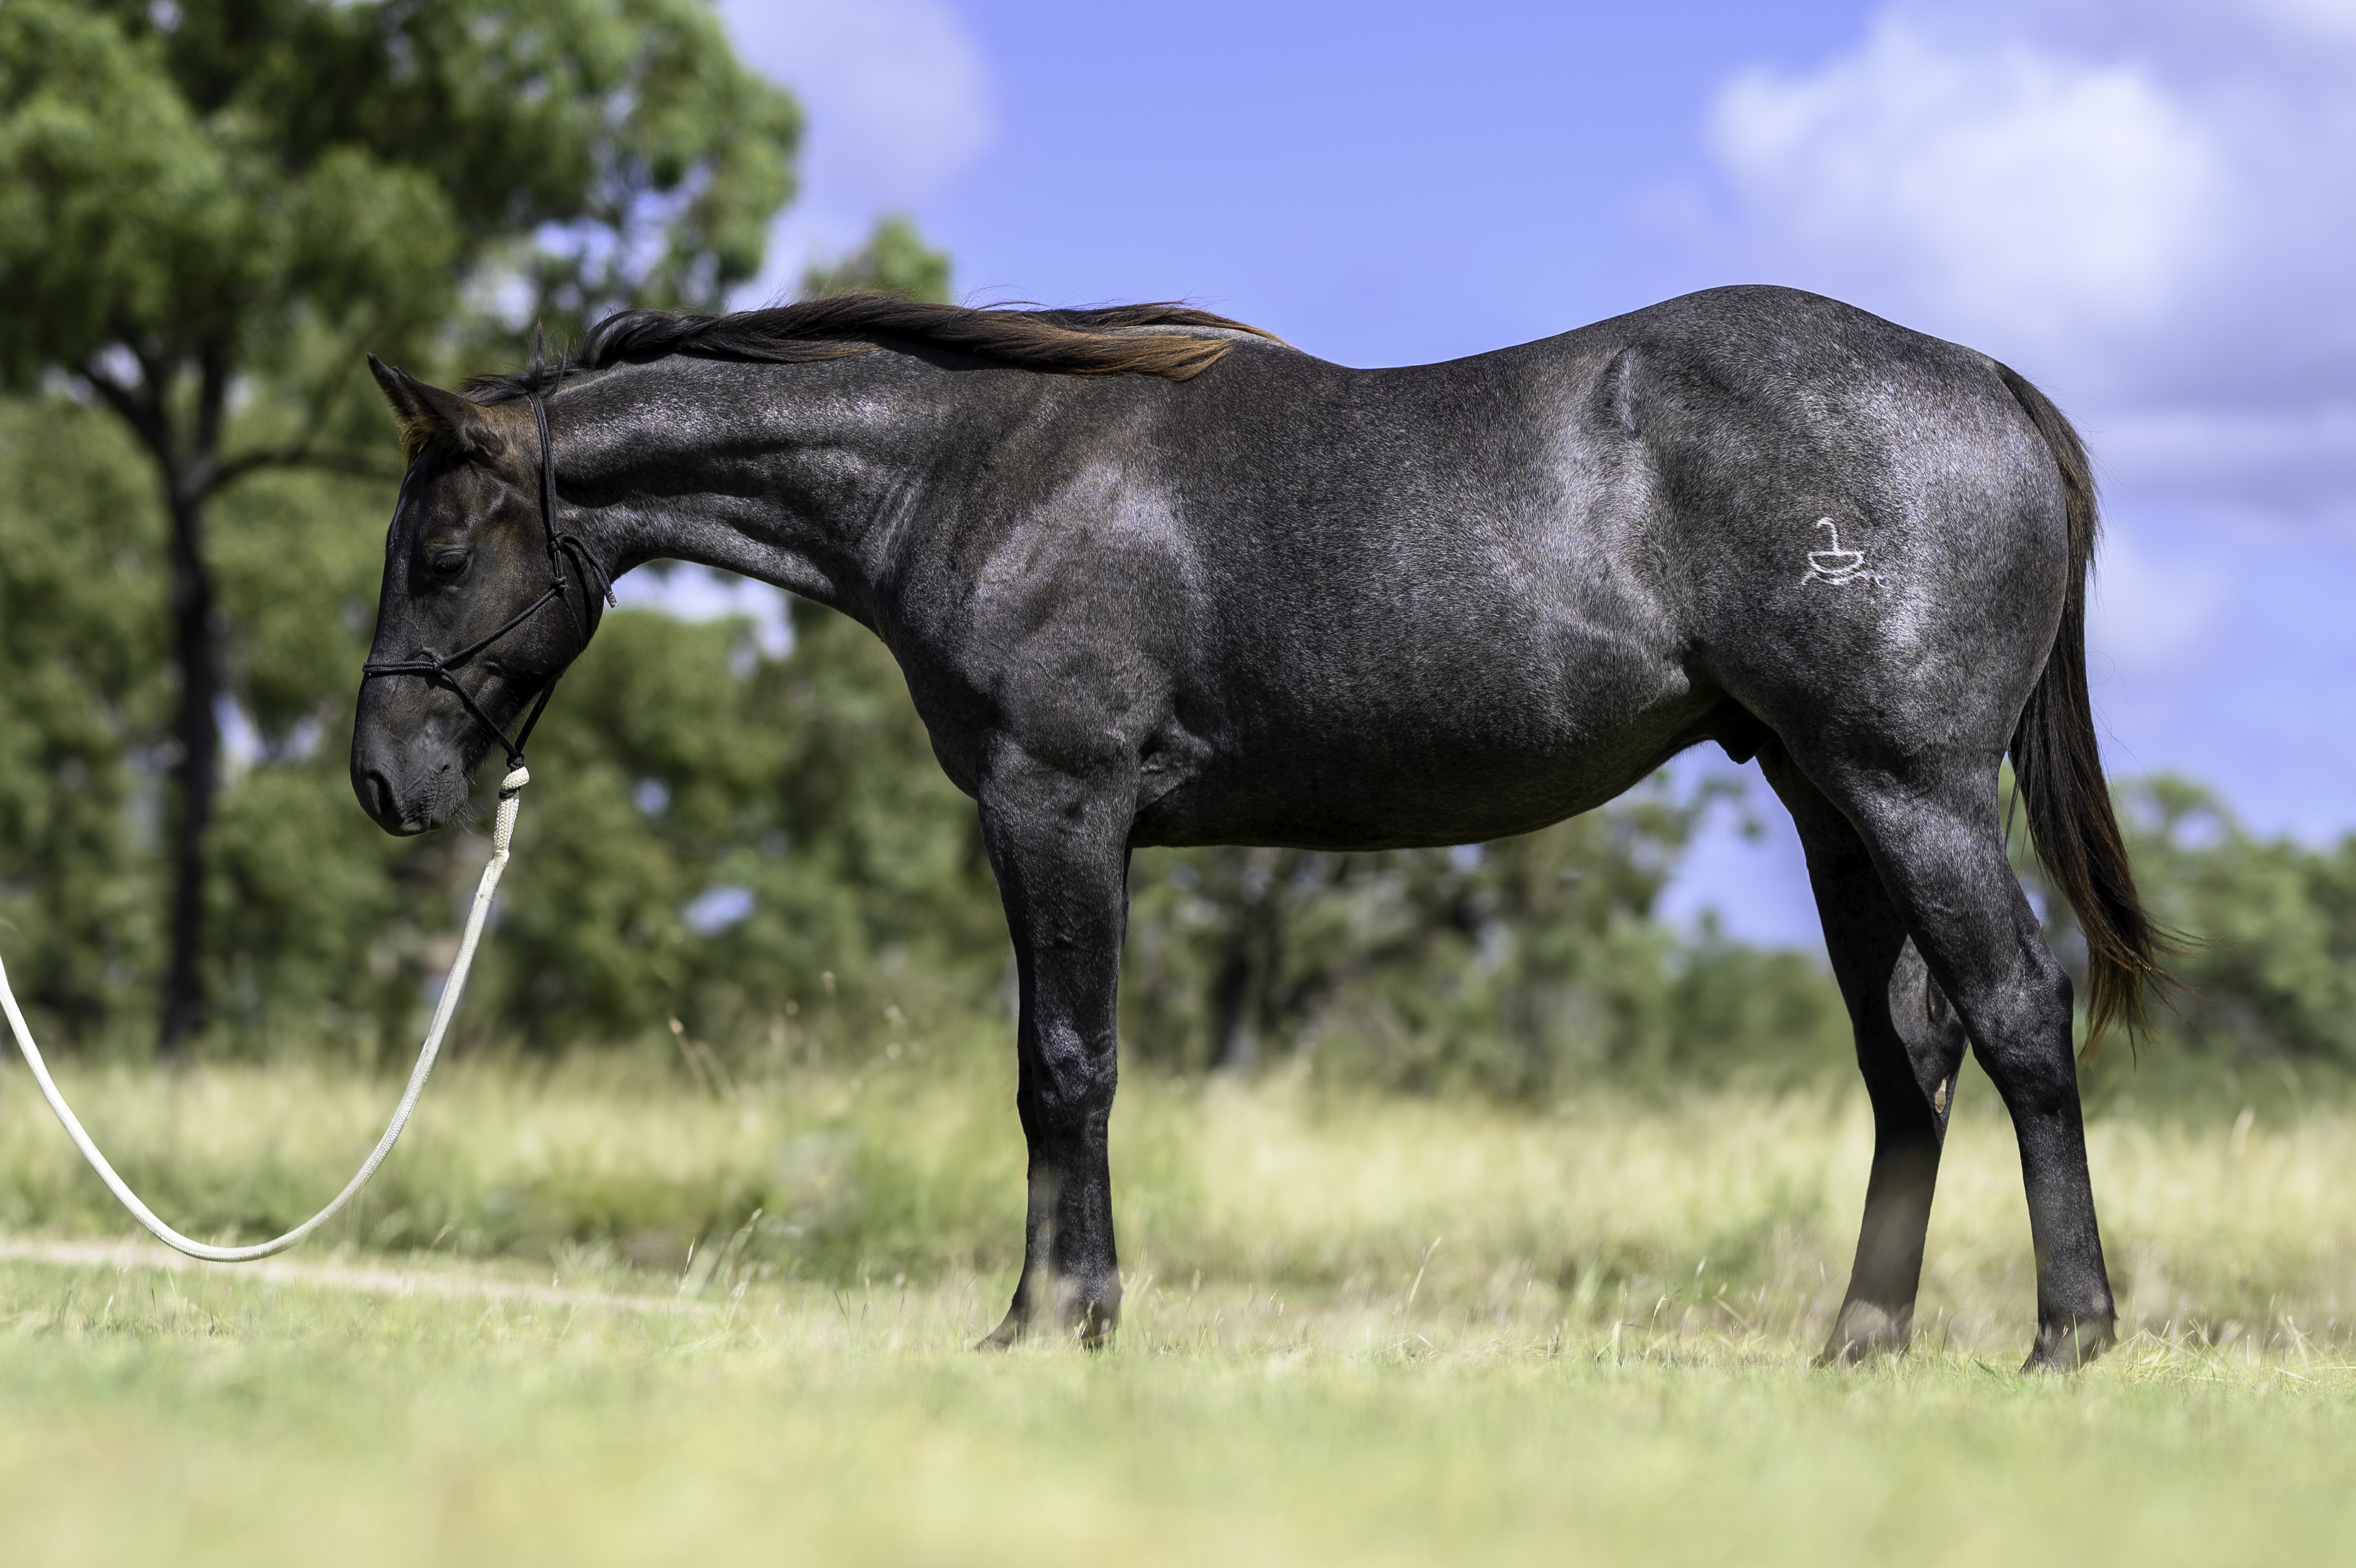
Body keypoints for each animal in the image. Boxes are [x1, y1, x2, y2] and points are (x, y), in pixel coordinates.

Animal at [351, 285, 2165, 1370]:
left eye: (437, 550)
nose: (385, 781)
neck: (981, 466)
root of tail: (1987, 383)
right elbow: (1054, 1067)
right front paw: (1053, 1310)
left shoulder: (1056, 802)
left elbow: (1063, 1067)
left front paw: (1058, 1316)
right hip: (1829, 801)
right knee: (1909, 1060)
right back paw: (1858, 1341)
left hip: (1909, 786)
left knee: (2015, 1021)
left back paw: (2068, 1335)